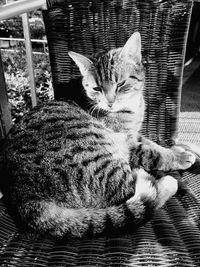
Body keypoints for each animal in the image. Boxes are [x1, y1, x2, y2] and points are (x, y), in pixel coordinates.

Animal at [1, 31, 195, 239]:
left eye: (121, 84)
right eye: (97, 88)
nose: (110, 103)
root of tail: (24, 197)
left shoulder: (134, 134)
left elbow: (153, 143)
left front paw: (176, 150)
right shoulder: (126, 143)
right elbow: (153, 153)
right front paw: (180, 157)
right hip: (102, 160)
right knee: (134, 191)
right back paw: (165, 183)